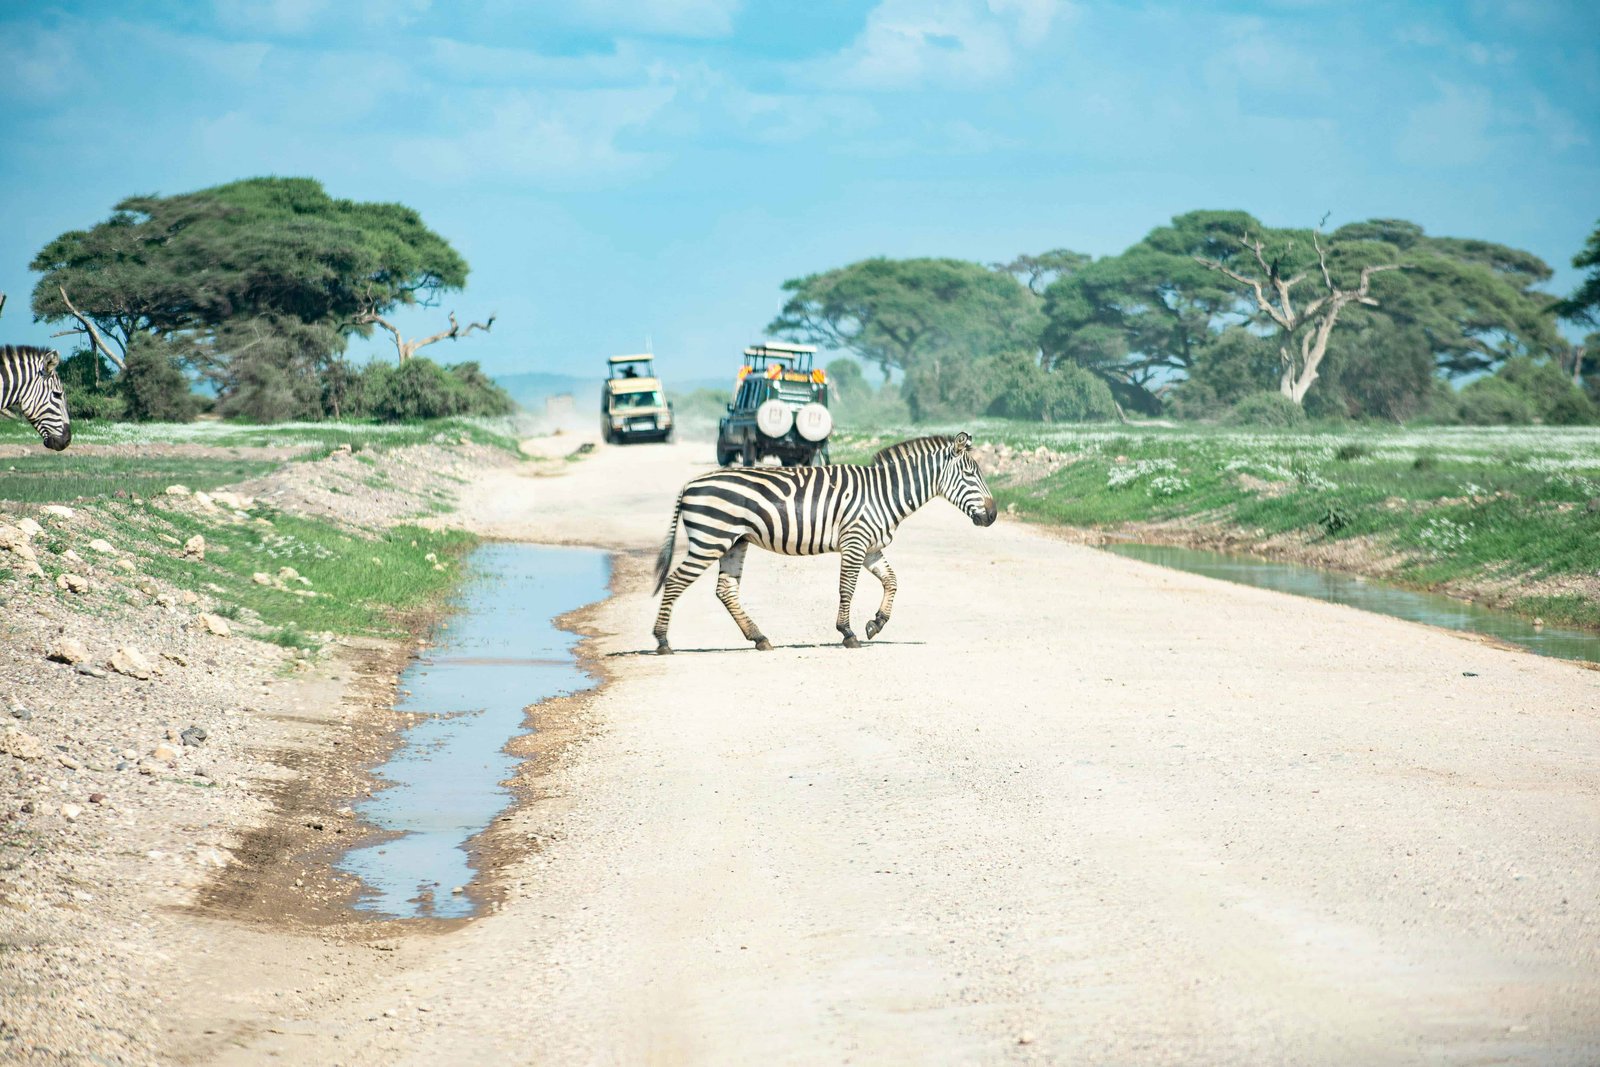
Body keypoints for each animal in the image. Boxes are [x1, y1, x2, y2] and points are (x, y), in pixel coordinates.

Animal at [651, 431, 996, 654]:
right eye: (970, 475)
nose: (993, 515)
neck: (884, 494)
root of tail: (690, 484)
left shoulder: (871, 547)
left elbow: (892, 581)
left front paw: (876, 623)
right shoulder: (855, 542)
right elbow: (847, 588)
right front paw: (848, 633)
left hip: (734, 541)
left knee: (725, 590)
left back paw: (760, 638)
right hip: (711, 539)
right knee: (675, 581)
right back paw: (663, 641)